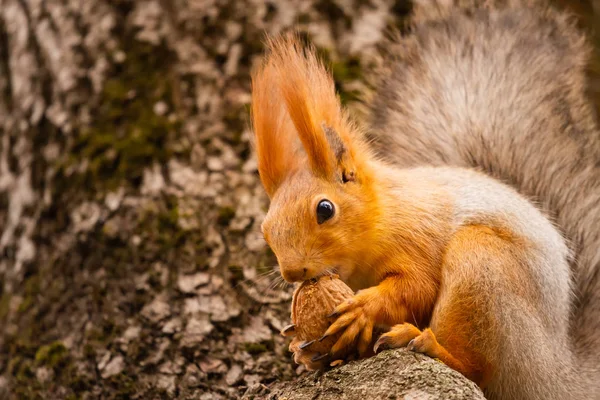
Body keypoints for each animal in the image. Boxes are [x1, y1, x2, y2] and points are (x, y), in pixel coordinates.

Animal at [250, 0, 600, 400]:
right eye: (265, 230)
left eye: (325, 209)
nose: (293, 273)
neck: (383, 214)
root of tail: (559, 372)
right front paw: (302, 346)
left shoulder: (418, 234)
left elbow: (416, 287)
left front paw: (364, 310)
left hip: (484, 270)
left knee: (475, 369)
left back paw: (427, 344)